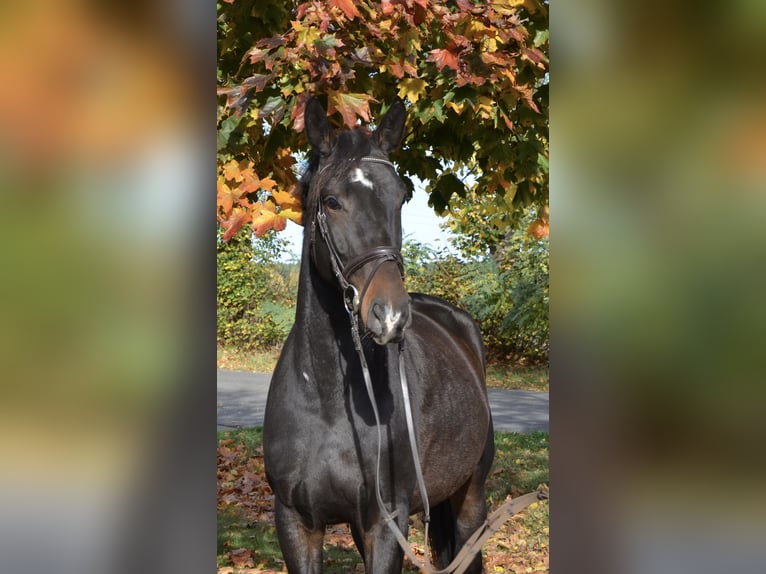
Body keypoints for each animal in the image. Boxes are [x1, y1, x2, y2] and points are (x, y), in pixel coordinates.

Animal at [260, 99, 496, 574]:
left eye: (401, 197)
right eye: (332, 201)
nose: (390, 315)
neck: (328, 403)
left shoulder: (386, 525)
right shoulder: (296, 522)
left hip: (470, 497)